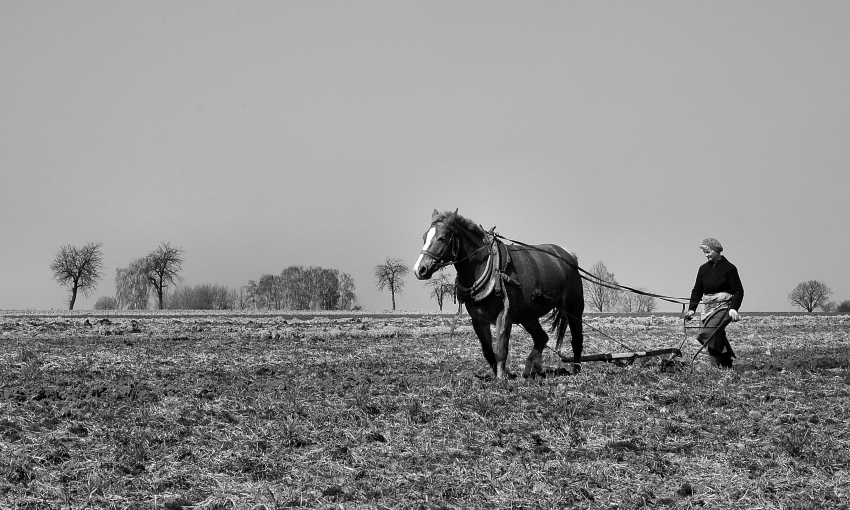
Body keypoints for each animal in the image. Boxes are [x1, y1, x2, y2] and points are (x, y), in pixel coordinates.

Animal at [410, 208, 584, 378]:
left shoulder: (504, 316)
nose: (420, 269)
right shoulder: (478, 320)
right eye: (424, 237)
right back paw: (530, 370)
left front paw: (501, 379)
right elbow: (488, 351)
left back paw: (576, 371)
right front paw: (497, 374)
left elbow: (501, 349)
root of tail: (568, 256)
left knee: (576, 340)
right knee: (541, 338)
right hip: (528, 315)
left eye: (442, 238)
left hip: (574, 309)